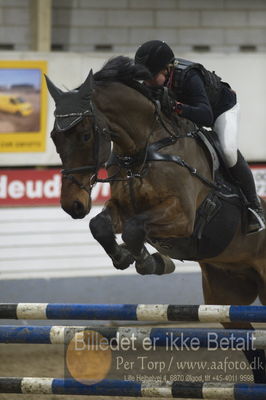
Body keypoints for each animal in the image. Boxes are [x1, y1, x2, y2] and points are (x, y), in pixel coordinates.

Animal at [46, 56, 266, 382]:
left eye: (85, 135)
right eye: (54, 137)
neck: (146, 149)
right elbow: (100, 226)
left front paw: (151, 261)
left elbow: (135, 230)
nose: (72, 205)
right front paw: (131, 258)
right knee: (250, 345)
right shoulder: (123, 208)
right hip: (226, 298)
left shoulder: (182, 216)